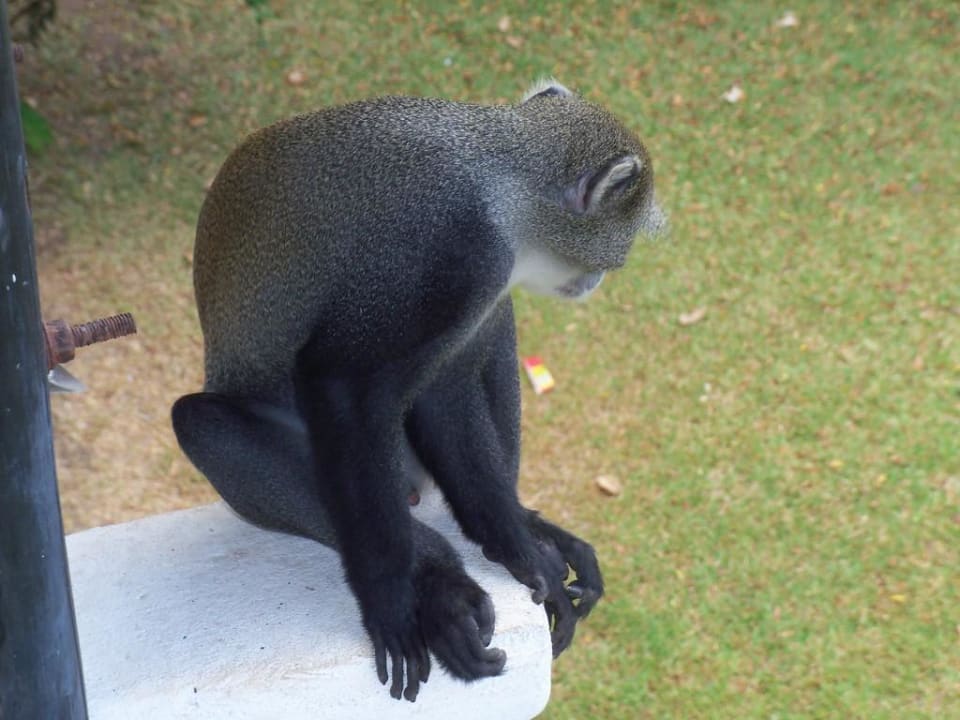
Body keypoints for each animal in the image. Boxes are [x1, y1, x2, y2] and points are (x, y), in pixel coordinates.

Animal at [172, 79, 665, 702]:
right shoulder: (451, 251)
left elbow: (445, 395)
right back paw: (438, 586)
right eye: (618, 246)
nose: (601, 276)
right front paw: (394, 601)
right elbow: (341, 386)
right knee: (202, 424)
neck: (502, 176)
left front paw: (517, 543)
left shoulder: (476, 284)